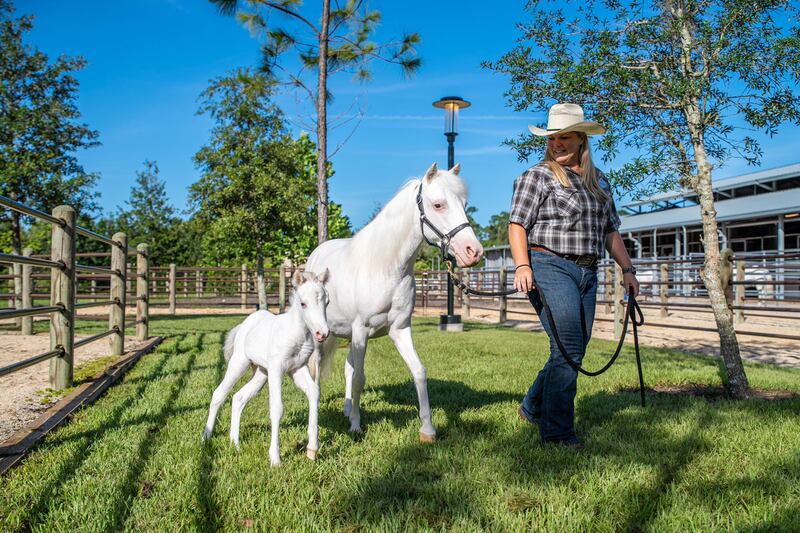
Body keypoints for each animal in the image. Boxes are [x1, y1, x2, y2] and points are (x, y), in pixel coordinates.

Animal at [206, 268, 332, 464]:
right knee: (219, 394)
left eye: (327, 302)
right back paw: (206, 438)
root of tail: (246, 323)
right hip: (239, 363)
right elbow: (277, 408)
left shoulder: (297, 368)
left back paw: (235, 444)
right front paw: (275, 458)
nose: (322, 333)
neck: (297, 335)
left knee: (238, 397)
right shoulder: (276, 369)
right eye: (303, 303)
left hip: (261, 373)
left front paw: (312, 449)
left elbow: (314, 393)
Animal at [306, 162, 482, 440]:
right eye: (438, 205)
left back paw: (346, 409)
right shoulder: (361, 331)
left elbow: (418, 371)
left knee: (347, 367)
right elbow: (360, 378)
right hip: (322, 336)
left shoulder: (399, 329)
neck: (386, 268)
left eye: (464, 204)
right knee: (318, 368)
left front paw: (427, 429)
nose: (473, 252)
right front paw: (356, 426)